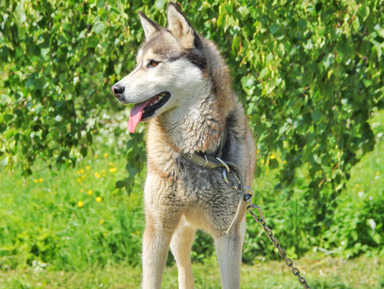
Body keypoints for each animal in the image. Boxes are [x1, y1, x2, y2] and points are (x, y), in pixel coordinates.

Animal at [111, 2, 255, 288]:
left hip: (238, 225)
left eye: (153, 63)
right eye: (137, 64)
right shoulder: (157, 229)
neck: (196, 153)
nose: (115, 89)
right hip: (178, 233)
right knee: (184, 273)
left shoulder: (227, 234)